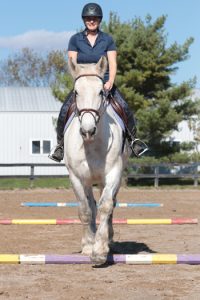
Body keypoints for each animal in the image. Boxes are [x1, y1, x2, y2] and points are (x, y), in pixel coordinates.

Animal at [64, 56, 130, 264]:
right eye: (76, 92)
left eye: (101, 91)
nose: (88, 130)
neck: (91, 144)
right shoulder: (77, 178)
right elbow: (85, 209)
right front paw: (88, 245)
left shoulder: (113, 173)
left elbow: (106, 206)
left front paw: (100, 250)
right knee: (92, 206)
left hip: (106, 180)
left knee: (108, 205)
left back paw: (109, 239)